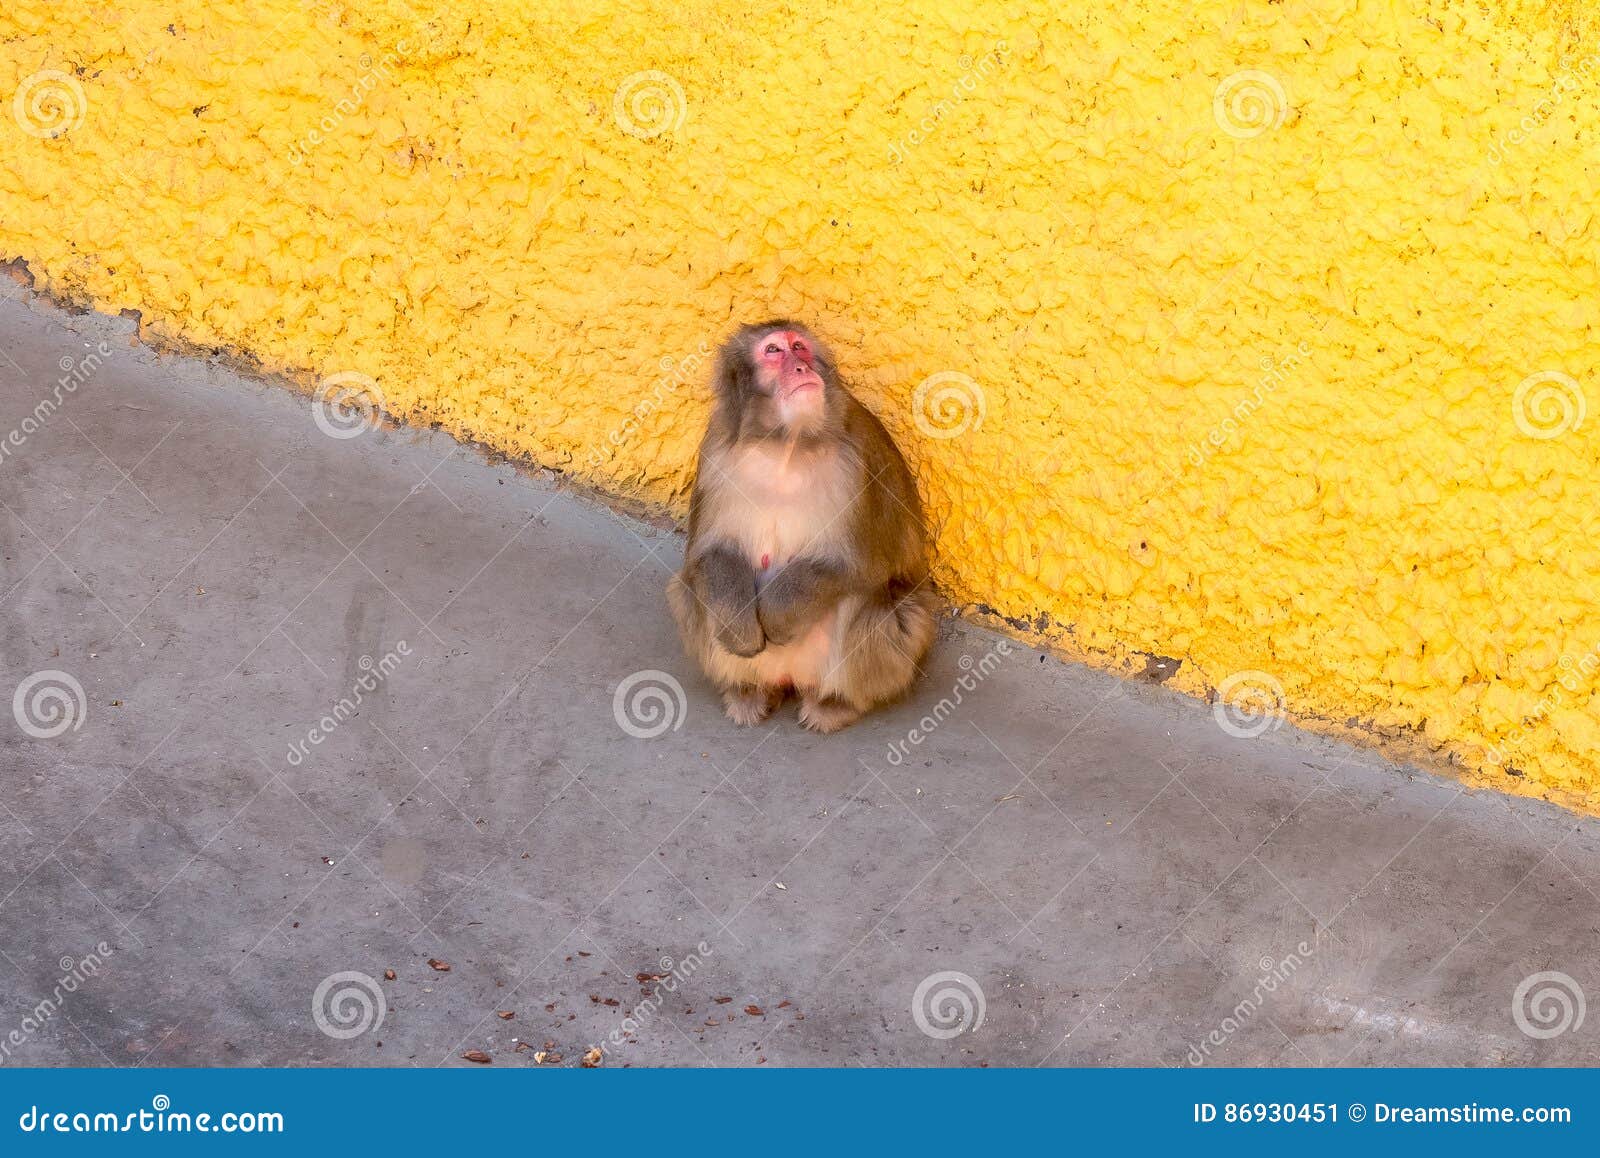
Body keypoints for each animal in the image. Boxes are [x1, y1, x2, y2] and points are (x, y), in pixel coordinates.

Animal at [667, 320, 938, 733]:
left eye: (800, 347)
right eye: (774, 351)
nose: (801, 367)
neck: (787, 446)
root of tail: (790, 679)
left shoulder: (858, 464)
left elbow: (860, 567)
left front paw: (777, 619)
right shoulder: (715, 453)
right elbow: (708, 553)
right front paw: (740, 631)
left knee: (878, 605)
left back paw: (836, 704)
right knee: (689, 589)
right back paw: (747, 692)